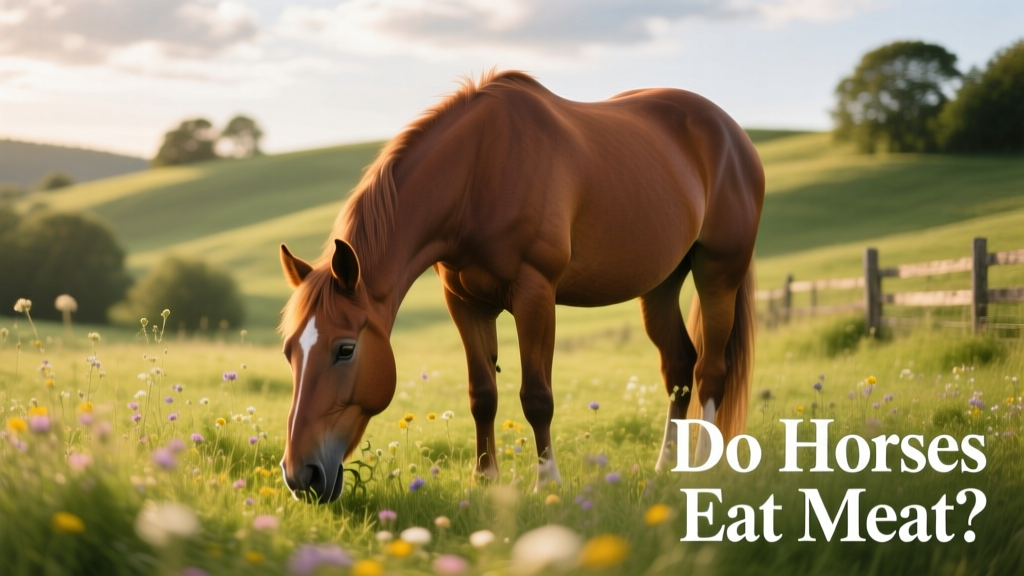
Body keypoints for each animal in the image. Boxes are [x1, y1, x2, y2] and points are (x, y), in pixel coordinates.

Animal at [278, 70, 764, 503]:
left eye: (345, 349)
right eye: (289, 352)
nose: (300, 475)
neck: (477, 174)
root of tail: (733, 135)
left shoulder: (535, 295)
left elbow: (536, 397)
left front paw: (547, 482)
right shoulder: (465, 303)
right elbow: (482, 394)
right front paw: (484, 479)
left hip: (718, 273)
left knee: (710, 370)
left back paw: (703, 468)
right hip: (661, 285)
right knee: (679, 368)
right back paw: (666, 468)